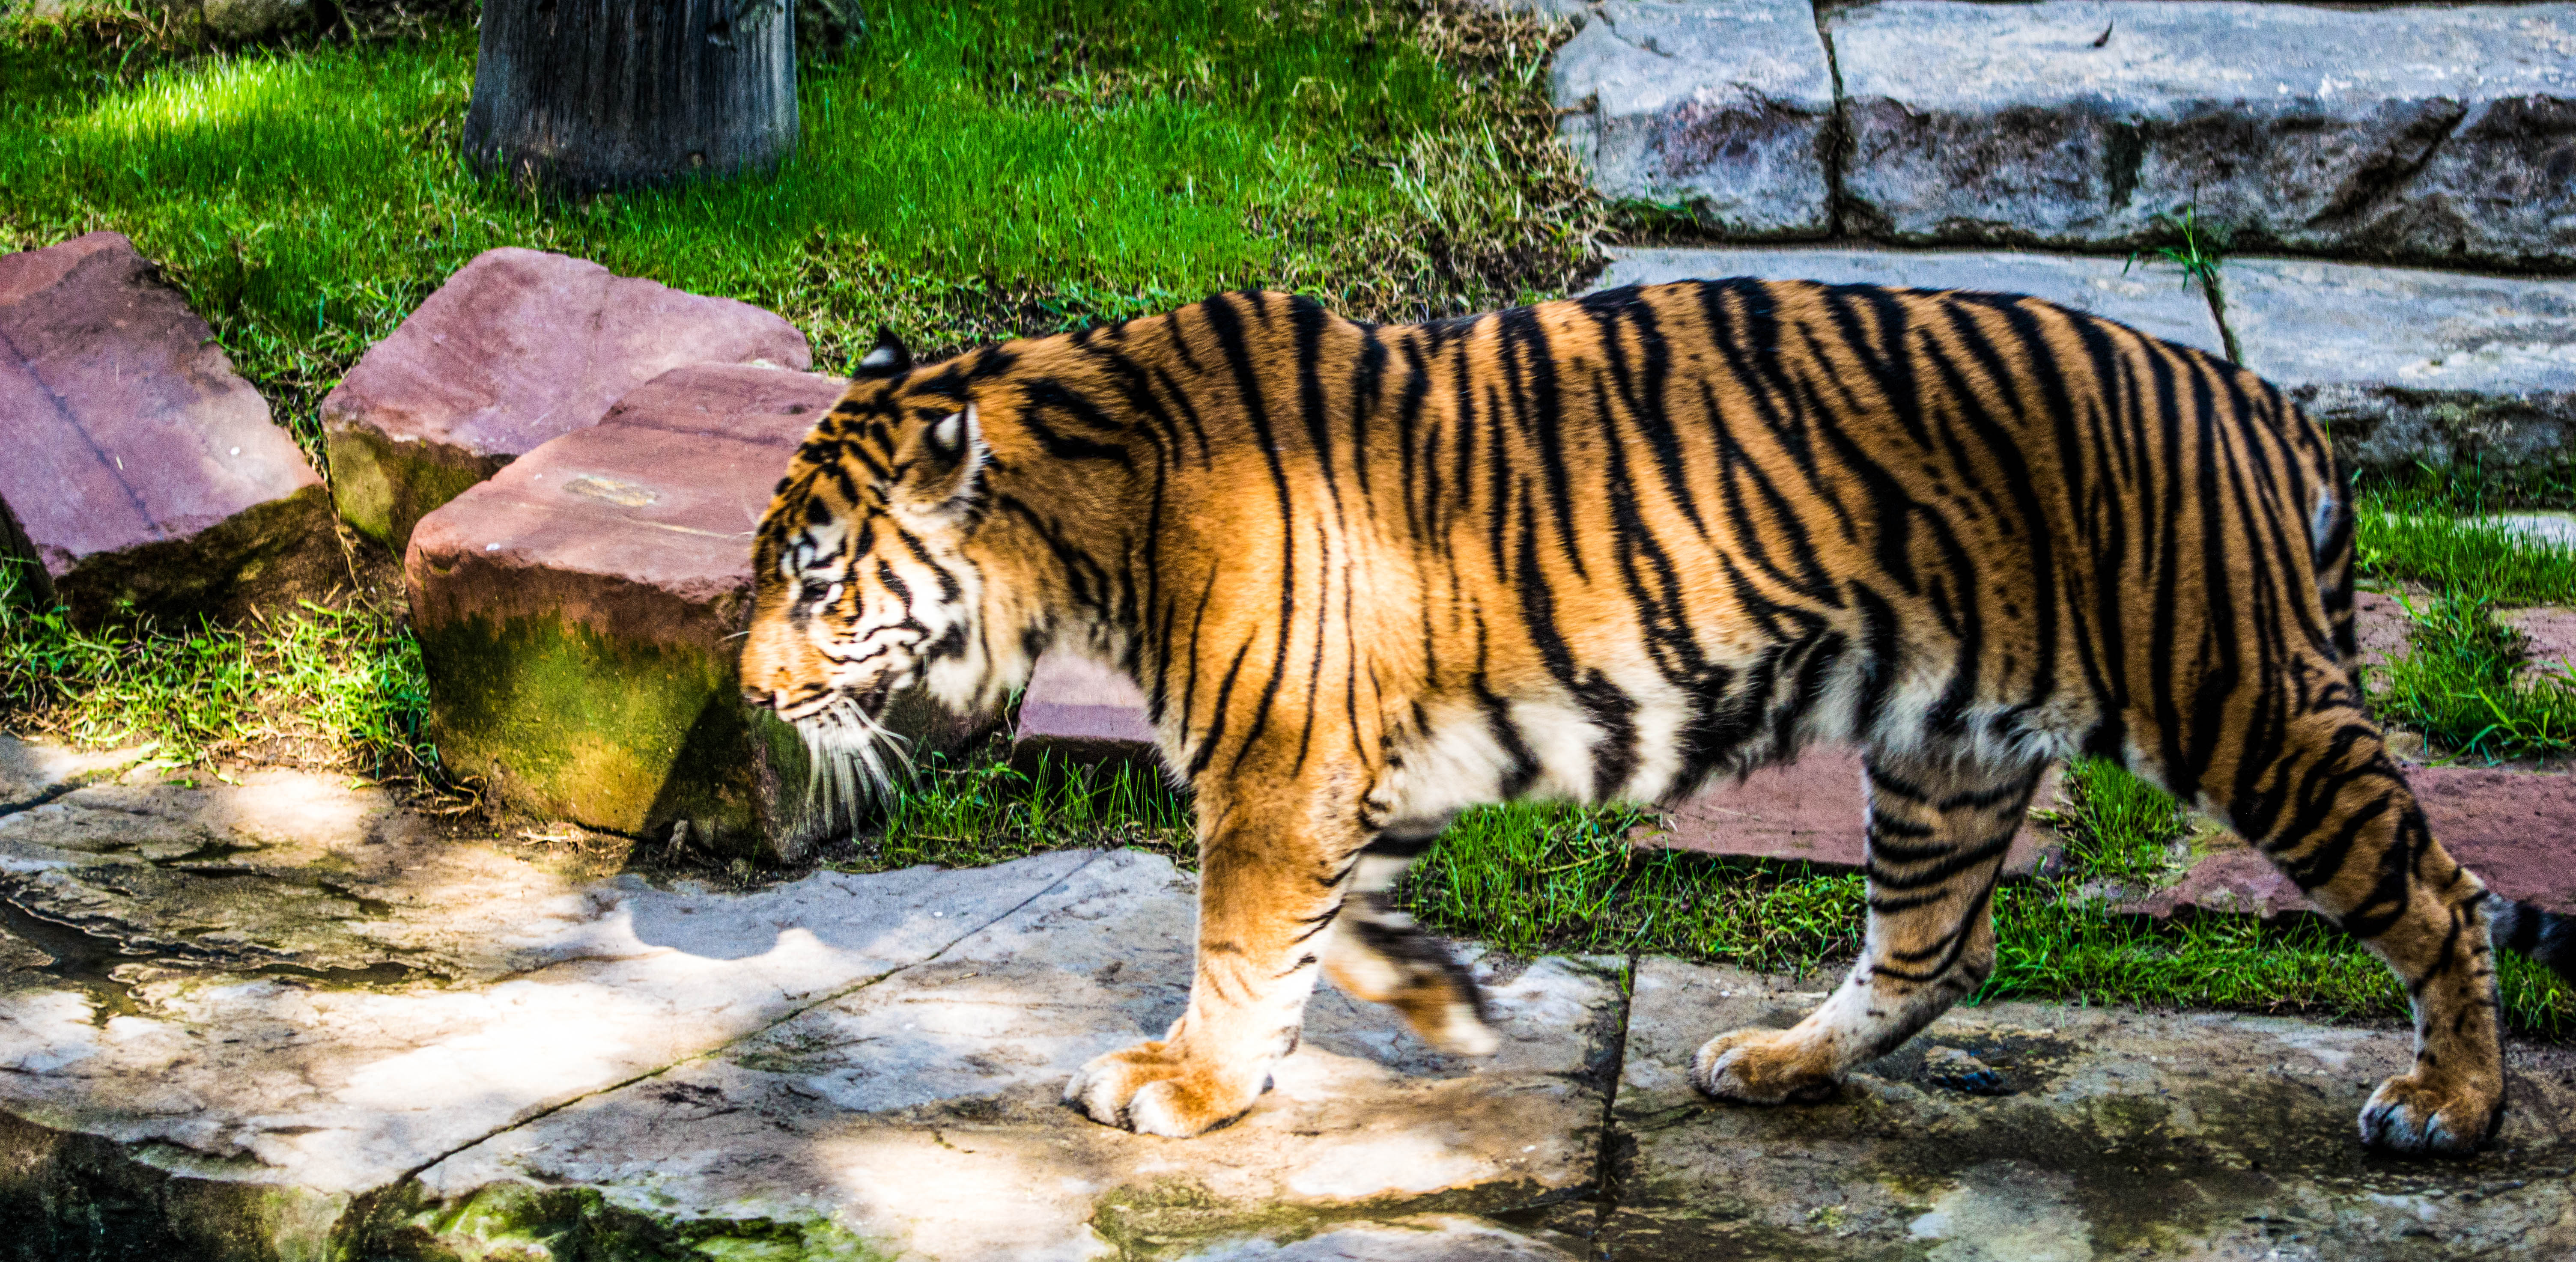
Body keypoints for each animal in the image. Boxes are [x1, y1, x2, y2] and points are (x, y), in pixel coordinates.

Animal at [738, 279, 2576, 1153]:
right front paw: (1443, 1000)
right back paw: (1772, 1061)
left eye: (818, 584)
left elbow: (1242, 946)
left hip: (2232, 699)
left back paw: (2448, 1106)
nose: (749, 688)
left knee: (2439, 892)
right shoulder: (1352, 766)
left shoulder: (1274, 769)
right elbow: (1339, 933)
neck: (1082, 519)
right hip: (1945, 748)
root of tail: (2260, 396)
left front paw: (1188, 1086)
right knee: (1932, 947)